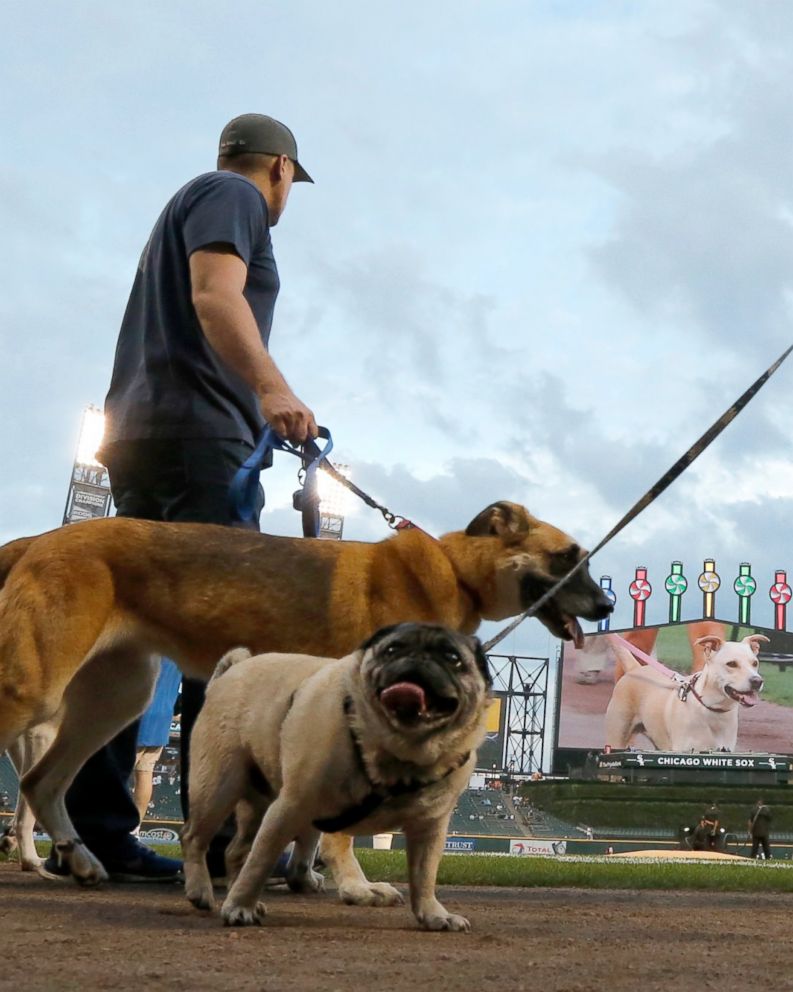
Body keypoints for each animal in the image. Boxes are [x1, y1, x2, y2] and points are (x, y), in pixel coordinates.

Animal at [0, 500, 612, 888]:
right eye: (568, 557)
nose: (607, 606)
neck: (457, 571)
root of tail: (39, 539)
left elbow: (316, 828)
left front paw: (302, 876)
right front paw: (353, 885)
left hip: (117, 698)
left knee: (39, 783)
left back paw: (80, 862)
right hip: (37, 691)